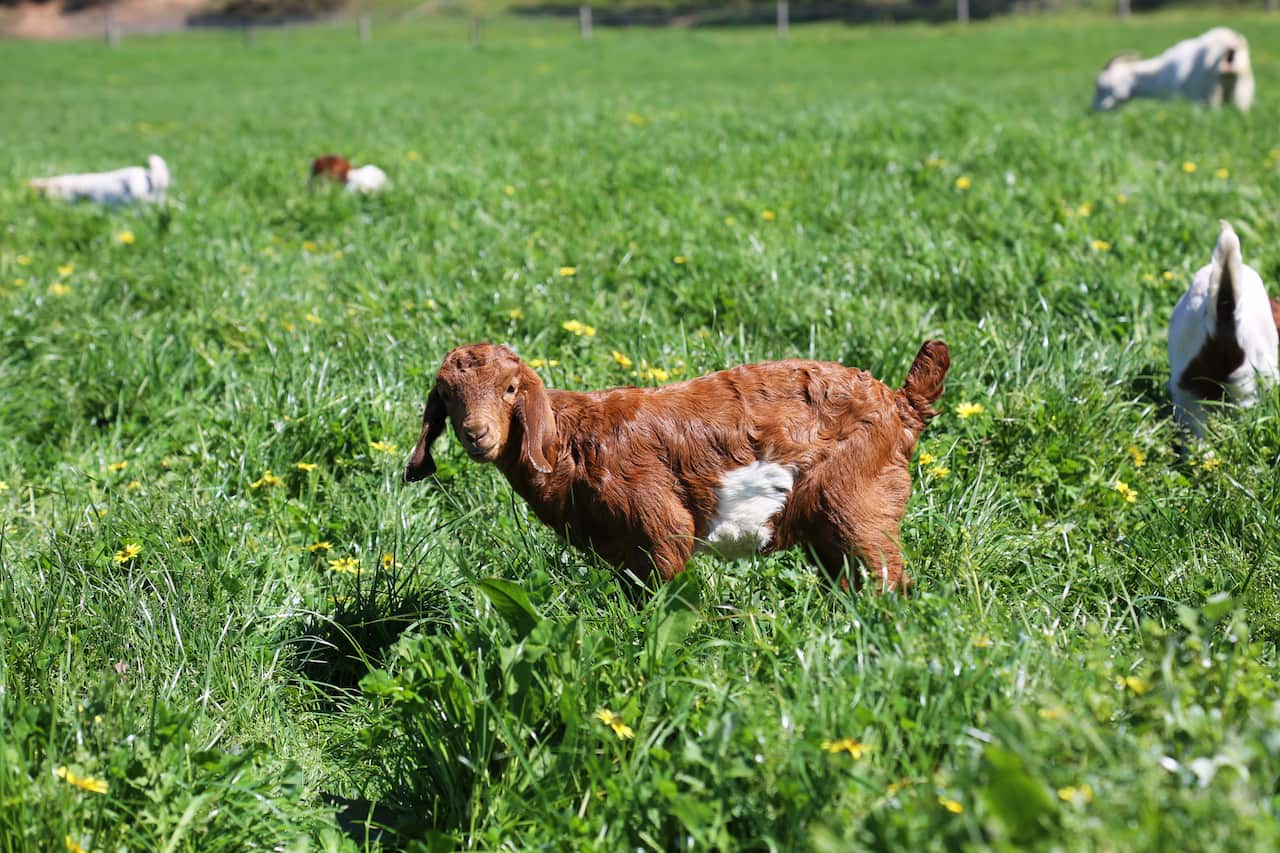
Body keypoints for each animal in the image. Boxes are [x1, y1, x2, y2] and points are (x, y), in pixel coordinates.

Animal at [404, 340, 950, 595]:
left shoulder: (657, 524)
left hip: (858, 498)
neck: (571, 444)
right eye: (446, 396)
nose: (476, 434)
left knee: (885, 573)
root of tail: (900, 403)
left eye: (511, 389)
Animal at [1092, 27, 1254, 112]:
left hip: (1211, 93)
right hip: (1242, 92)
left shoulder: (1181, 99)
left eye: (1101, 86)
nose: (1092, 109)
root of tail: (1231, 42)